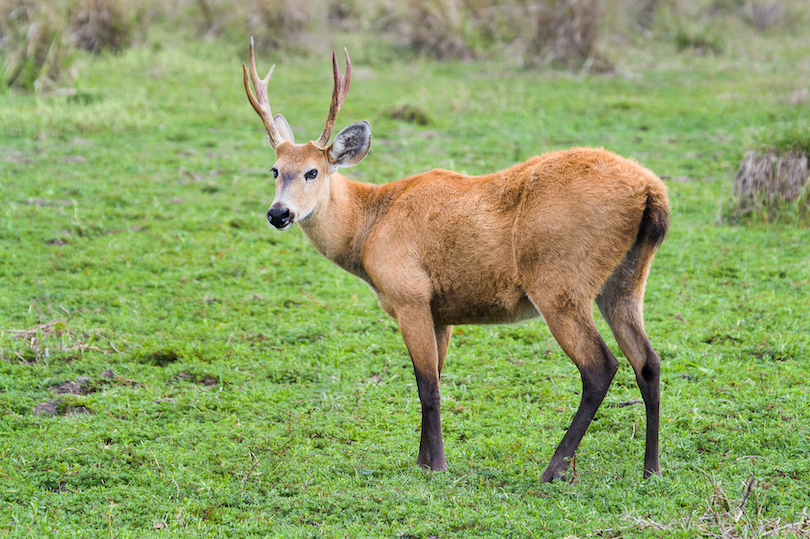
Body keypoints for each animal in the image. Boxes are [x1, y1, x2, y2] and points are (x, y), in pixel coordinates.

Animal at [241, 39, 668, 486]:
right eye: (275, 169)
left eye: (312, 171)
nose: (278, 213)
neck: (368, 229)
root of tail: (652, 192)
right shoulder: (440, 311)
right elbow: (434, 379)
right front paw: (422, 459)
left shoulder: (409, 295)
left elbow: (427, 386)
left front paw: (437, 466)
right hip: (625, 281)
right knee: (648, 362)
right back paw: (651, 468)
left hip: (560, 283)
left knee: (600, 366)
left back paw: (554, 468)